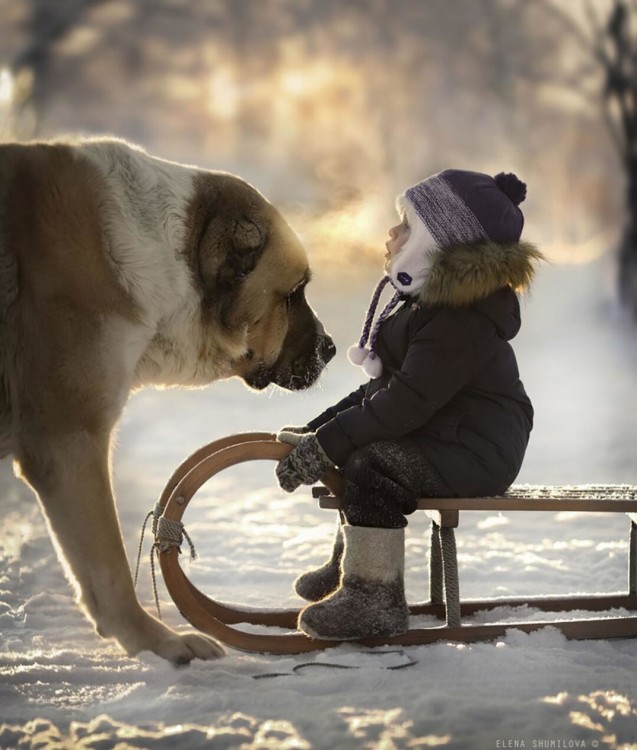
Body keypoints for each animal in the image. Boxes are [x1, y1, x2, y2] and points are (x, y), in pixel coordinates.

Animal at [0, 138, 338, 668]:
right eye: (293, 294)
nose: (332, 348)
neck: (173, 257)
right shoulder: (67, 441)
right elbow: (109, 566)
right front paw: (158, 642)